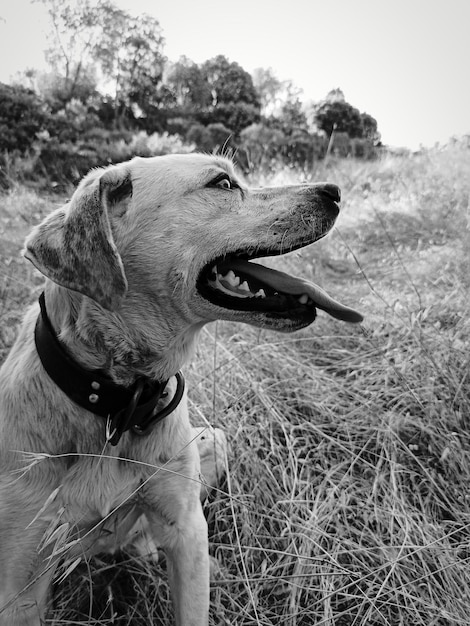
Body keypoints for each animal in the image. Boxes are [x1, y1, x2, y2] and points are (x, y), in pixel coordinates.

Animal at [0, 152, 364, 624]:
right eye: (223, 184)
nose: (334, 191)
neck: (118, 403)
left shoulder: (186, 527)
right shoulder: (20, 587)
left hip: (215, 442)